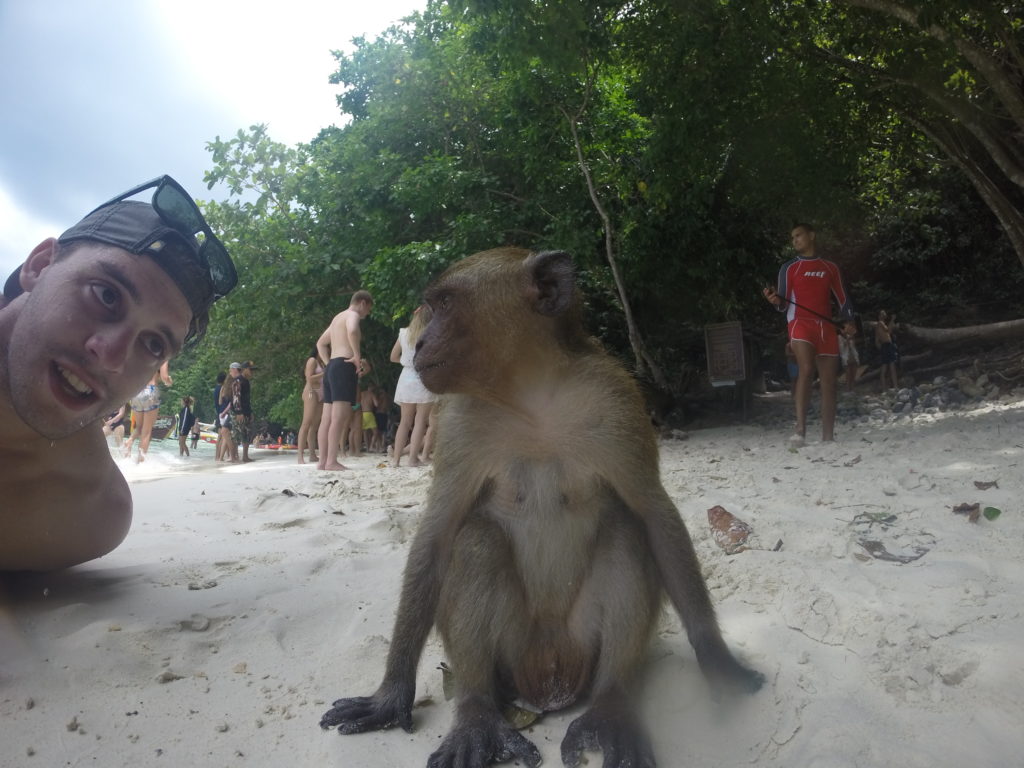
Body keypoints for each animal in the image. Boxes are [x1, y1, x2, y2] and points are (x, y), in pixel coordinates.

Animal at [319, 249, 761, 765]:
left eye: (444, 304)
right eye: (431, 308)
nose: (420, 342)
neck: (530, 397)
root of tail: (550, 683)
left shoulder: (617, 402)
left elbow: (654, 514)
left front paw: (717, 660)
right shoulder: (459, 423)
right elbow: (438, 532)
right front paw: (391, 695)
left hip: (581, 647)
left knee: (626, 532)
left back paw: (611, 703)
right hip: (513, 659)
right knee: (476, 542)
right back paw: (477, 712)